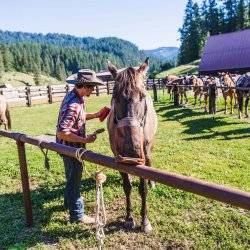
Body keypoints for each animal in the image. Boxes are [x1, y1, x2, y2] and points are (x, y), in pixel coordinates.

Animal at [106, 57, 157, 233]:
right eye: (115, 95)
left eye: (142, 96)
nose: (130, 151)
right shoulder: (118, 158)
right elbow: (127, 186)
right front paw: (129, 218)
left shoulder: (142, 158)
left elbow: (143, 189)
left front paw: (145, 221)